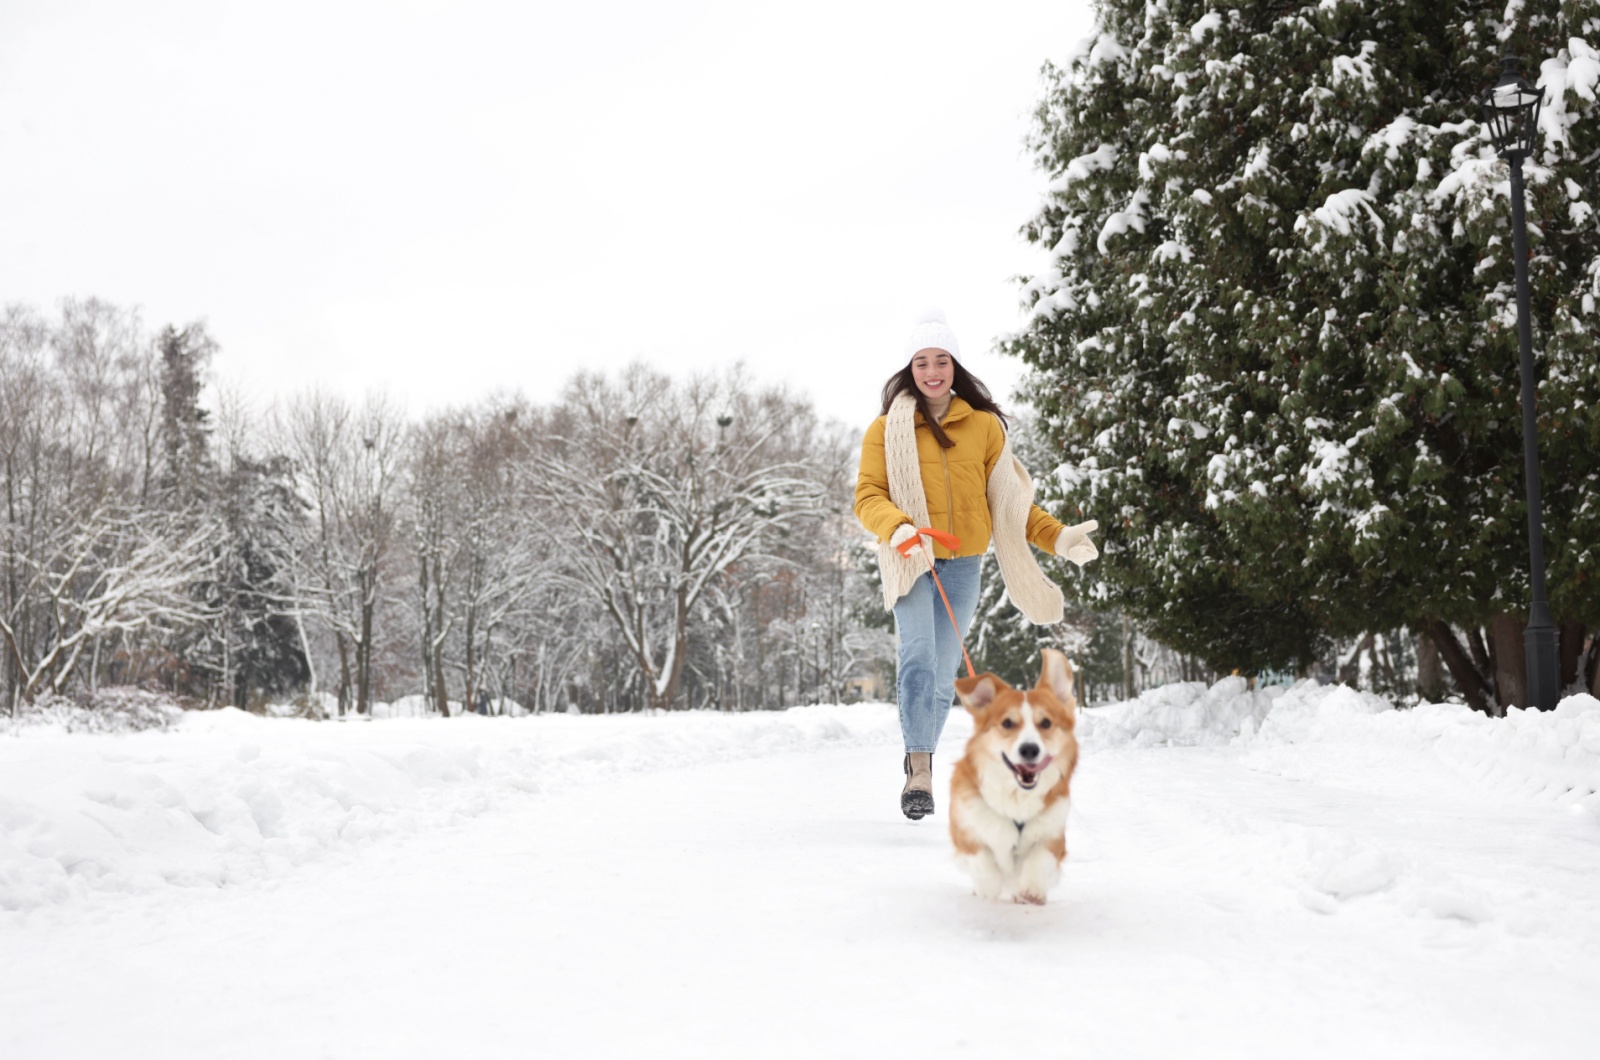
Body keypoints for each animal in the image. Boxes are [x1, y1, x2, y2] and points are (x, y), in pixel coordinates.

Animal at [953, 646, 1081, 903]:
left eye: (1046, 723)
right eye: (1007, 723)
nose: (1029, 749)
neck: (1016, 797)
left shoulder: (1053, 835)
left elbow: (1039, 857)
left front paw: (1032, 889)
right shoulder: (965, 830)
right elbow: (982, 857)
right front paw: (988, 888)